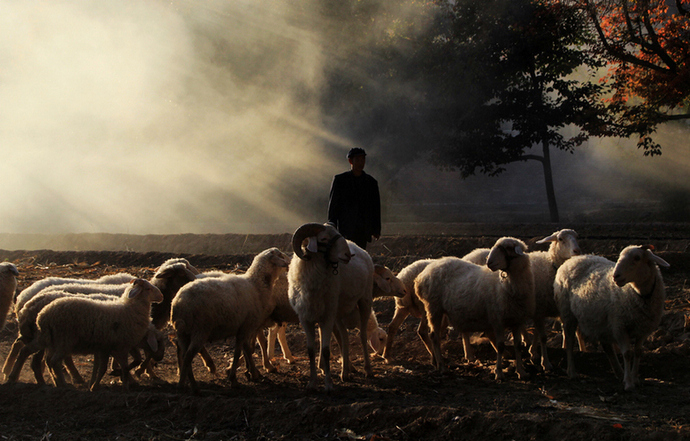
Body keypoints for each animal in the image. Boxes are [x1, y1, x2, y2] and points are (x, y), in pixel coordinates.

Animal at [35, 278, 163, 388]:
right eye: (148, 289)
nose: (161, 296)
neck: (130, 309)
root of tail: (43, 316)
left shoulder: (105, 347)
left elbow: (102, 367)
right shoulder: (120, 346)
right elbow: (125, 366)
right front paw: (124, 383)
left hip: (54, 343)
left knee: (49, 361)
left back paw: (57, 382)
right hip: (64, 341)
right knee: (54, 362)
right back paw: (62, 384)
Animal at [173, 246, 292, 394]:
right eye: (280, 255)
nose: (290, 263)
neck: (256, 284)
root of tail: (178, 303)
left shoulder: (245, 328)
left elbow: (246, 349)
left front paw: (251, 373)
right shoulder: (246, 326)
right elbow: (239, 351)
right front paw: (234, 378)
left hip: (184, 333)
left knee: (184, 355)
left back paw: (186, 382)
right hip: (200, 329)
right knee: (188, 356)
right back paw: (190, 386)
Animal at [284, 222, 374, 390]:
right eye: (324, 239)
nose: (348, 255)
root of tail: (359, 248)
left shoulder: (328, 316)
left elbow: (326, 350)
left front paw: (329, 384)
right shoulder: (306, 318)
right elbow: (310, 350)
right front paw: (312, 382)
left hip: (364, 301)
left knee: (362, 335)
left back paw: (368, 370)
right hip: (337, 311)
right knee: (344, 337)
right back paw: (345, 371)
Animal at [412, 237, 536, 378]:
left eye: (508, 248)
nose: (489, 262)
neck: (505, 285)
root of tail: (422, 275)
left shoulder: (517, 320)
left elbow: (518, 345)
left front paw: (521, 371)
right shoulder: (497, 319)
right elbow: (500, 345)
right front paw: (499, 372)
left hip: (441, 311)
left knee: (435, 335)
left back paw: (438, 364)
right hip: (433, 307)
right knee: (434, 336)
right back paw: (442, 367)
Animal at [552, 244, 668, 388]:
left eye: (637, 258)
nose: (615, 276)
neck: (638, 294)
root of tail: (572, 259)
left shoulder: (643, 329)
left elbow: (638, 352)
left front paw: (635, 378)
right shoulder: (619, 326)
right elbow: (627, 353)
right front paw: (629, 383)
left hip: (600, 321)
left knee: (606, 346)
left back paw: (619, 372)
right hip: (568, 314)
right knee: (569, 341)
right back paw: (572, 372)